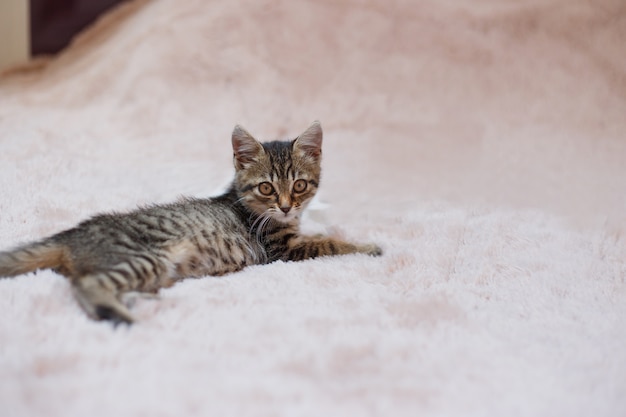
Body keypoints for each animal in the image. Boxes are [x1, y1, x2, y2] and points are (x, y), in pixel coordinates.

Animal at [0, 122, 380, 324]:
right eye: (267, 188)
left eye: (299, 185)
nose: (287, 207)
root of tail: (74, 233)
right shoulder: (282, 251)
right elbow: (328, 242)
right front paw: (368, 245)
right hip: (146, 258)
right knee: (86, 284)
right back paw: (123, 316)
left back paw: (143, 301)